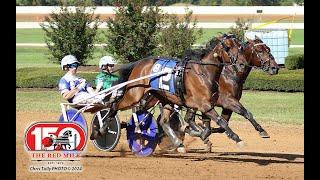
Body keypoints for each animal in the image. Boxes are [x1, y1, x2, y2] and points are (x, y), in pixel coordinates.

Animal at [91, 35, 249, 150]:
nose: (242, 64)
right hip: (134, 95)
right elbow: (221, 121)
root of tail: (140, 63)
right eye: (228, 47)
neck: (203, 72)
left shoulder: (207, 104)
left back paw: (178, 143)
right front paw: (237, 139)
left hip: (164, 99)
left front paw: (201, 134)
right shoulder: (204, 105)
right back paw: (101, 129)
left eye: (240, 47)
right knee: (115, 106)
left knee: (164, 121)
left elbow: (206, 126)